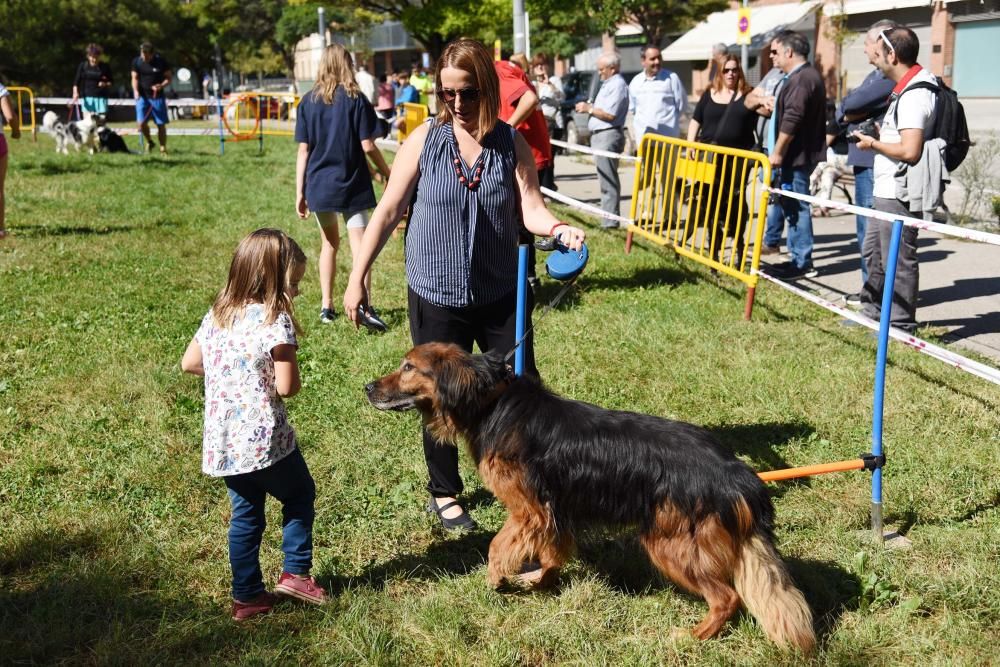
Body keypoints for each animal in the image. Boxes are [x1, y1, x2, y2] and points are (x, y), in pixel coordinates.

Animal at [364, 344, 816, 652]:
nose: (367, 387)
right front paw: (540, 581)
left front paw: (496, 578)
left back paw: (693, 636)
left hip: (670, 543)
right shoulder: (554, 509)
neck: (493, 403)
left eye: (408, 367)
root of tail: (736, 472)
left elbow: (498, 545)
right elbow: (552, 552)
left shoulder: (528, 509)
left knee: (727, 598)